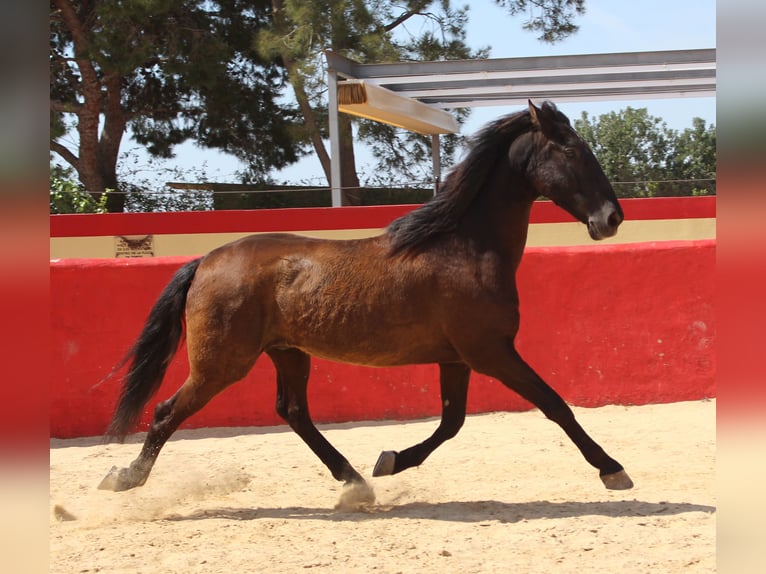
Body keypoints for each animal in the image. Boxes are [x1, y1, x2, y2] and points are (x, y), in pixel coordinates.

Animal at [96, 100, 636, 500]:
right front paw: (613, 469)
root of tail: (205, 260)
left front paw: (390, 461)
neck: (465, 247)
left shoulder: (458, 358)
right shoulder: (491, 352)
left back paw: (354, 482)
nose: (612, 218)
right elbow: (555, 405)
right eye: (571, 150)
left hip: (287, 354)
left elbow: (452, 422)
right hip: (221, 364)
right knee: (167, 411)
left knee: (293, 412)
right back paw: (123, 478)